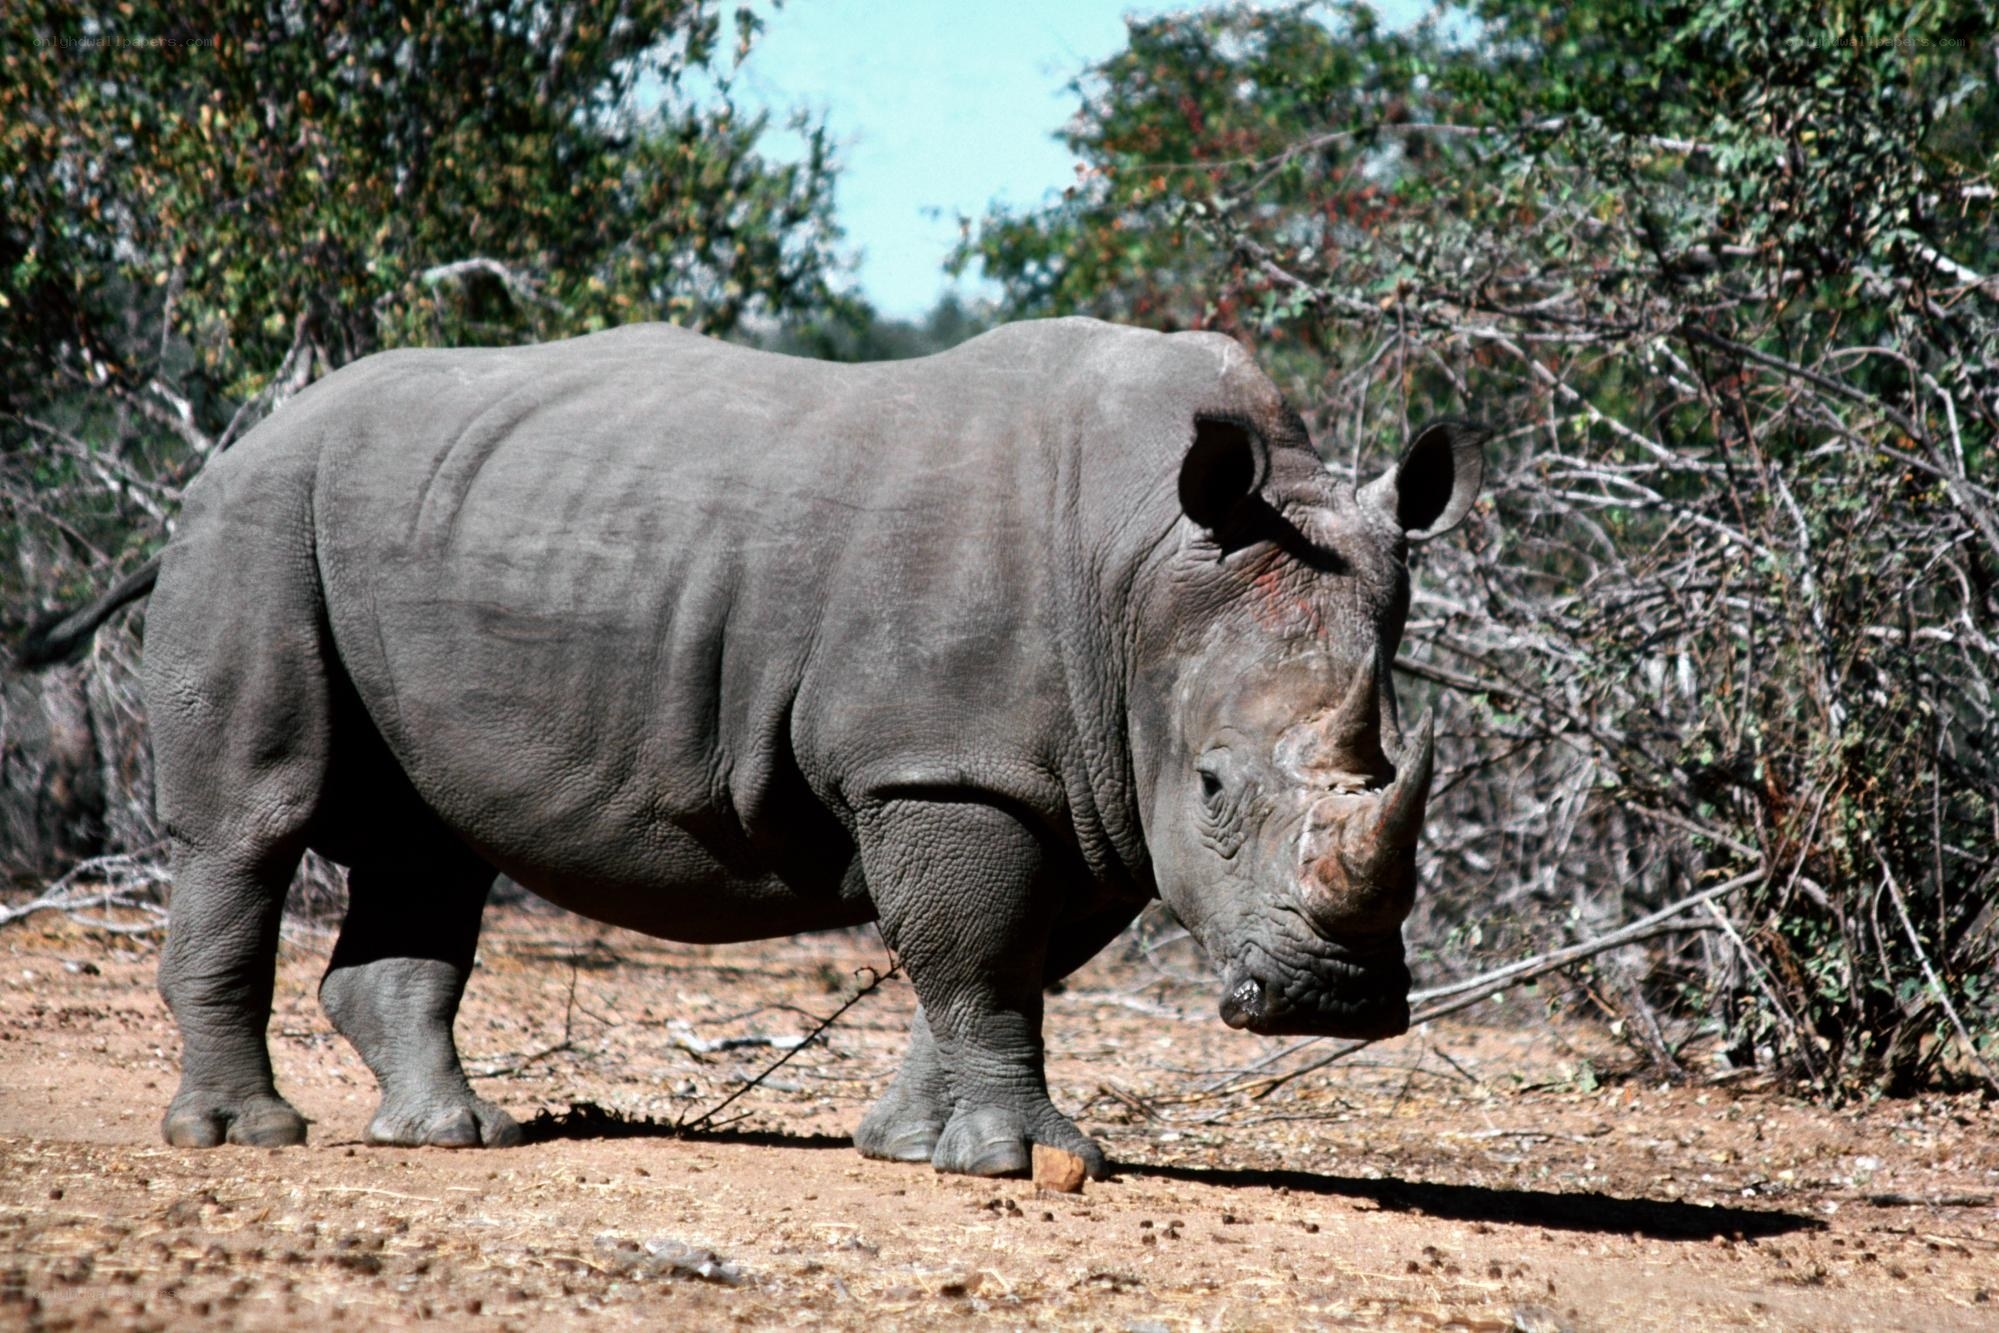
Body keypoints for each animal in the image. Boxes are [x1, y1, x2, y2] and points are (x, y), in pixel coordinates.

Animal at [17, 318, 1485, 1178]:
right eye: (1217, 786)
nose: (1333, 1005)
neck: (1145, 565)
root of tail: (232, 453)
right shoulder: (945, 762)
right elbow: (981, 955)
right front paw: (1018, 1163)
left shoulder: (1074, 782)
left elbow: (996, 963)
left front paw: (906, 1146)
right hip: (259, 521)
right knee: (253, 825)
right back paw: (243, 1138)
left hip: (409, 526)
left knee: (429, 844)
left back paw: (450, 1136)